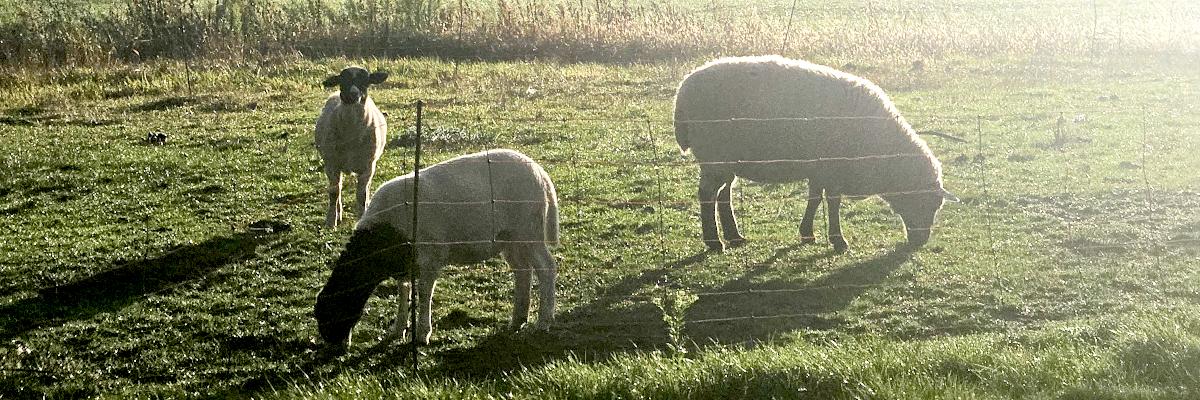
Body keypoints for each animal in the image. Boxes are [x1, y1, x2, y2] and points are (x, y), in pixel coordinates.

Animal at [314, 149, 559, 348]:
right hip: (510, 239)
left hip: (529, 231)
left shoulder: (430, 257)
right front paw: (398, 329)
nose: (335, 347)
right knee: (523, 271)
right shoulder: (405, 262)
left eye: (335, 311)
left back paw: (543, 321)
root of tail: (540, 173)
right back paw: (518, 320)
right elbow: (403, 291)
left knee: (546, 268)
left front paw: (423, 333)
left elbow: (423, 293)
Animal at [315, 66, 389, 229]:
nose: (353, 95)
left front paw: (361, 217)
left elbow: (361, 195)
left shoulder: (367, 167)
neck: (351, 134)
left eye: (366, 81)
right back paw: (339, 215)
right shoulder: (332, 165)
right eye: (343, 80)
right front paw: (331, 221)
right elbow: (334, 193)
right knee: (338, 188)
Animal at [672, 55, 958, 252]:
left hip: (727, 159)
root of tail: (682, 91)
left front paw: (808, 233)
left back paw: (734, 236)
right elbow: (832, 202)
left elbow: (814, 199)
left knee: (724, 194)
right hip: (715, 155)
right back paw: (714, 241)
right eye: (927, 203)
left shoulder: (820, 168)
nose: (920, 241)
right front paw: (838, 240)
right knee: (707, 195)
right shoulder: (832, 167)